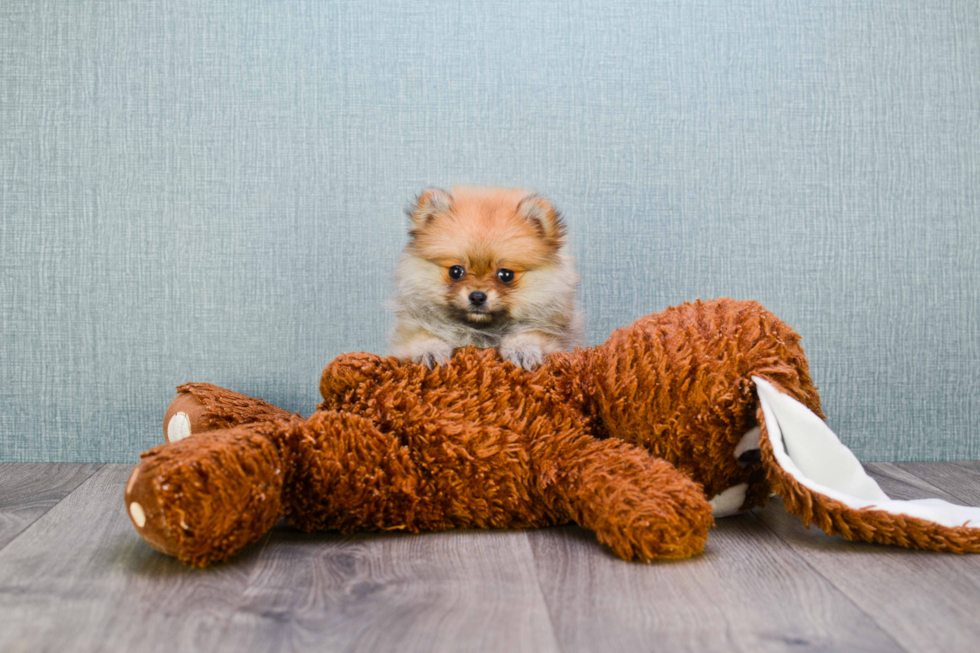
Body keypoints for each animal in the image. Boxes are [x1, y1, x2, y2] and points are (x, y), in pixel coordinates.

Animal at [390, 186, 580, 370]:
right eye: (455, 271)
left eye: (506, 275)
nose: (477, 296)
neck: (480, 330)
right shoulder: (409, 330)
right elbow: (422, 336)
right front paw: (428, 352)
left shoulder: (557, 338)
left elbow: (531, 334)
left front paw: (522, 349)